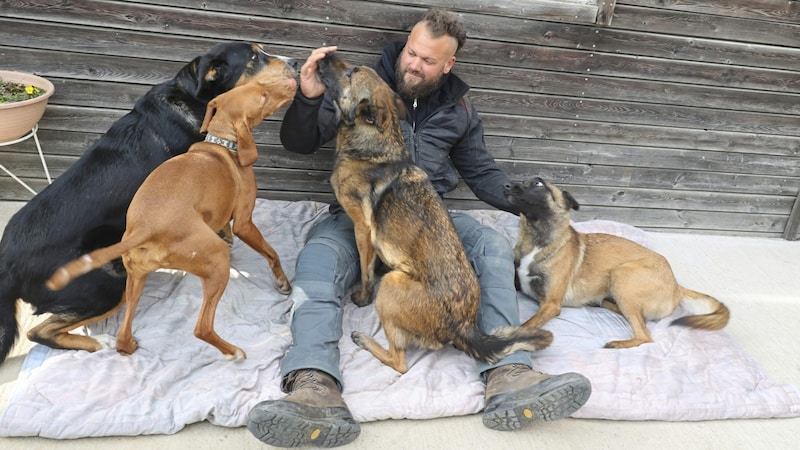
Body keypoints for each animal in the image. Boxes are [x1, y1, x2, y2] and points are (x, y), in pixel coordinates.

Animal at [0, 42, 296, 364]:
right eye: (254, 57)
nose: (295, 61)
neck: (195, 101)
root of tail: (6, 262)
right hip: (105, 285)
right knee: (39, 332)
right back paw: (101, 342)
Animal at [316, 51, 552, 372]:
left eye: (352, 72)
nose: (324, 55)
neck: (375, 144)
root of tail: (464, 326)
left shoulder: (363, 229)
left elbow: (365, 272)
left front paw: (362, 298)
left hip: (391, 284)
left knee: (400, 361)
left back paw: (365, 341)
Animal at [506, 176, 732, 348]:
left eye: (538, 183)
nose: (507, 185)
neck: (538, 239)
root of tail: (677, 285)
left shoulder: (551, 304)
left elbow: (527, 324)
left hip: (622, 274)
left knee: (644, 334)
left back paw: (619, 342)